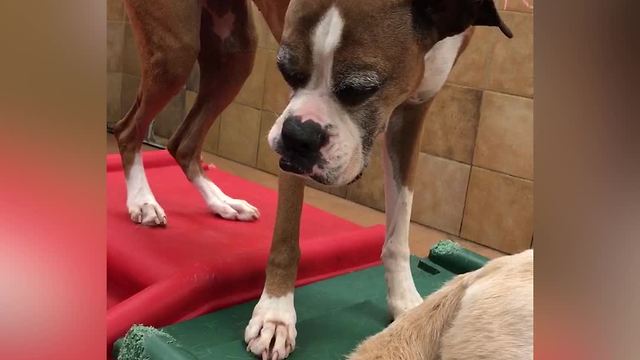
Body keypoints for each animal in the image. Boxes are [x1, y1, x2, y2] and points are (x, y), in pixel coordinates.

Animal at [112, 1, 512, 358]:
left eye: (361, 89)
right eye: (287, 72)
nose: (298, 136)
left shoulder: (411, 114)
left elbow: (399, 227)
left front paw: (405, 301)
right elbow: (286, 240)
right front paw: (275, 316)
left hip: (235, 54)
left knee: (183, 143)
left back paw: (221, 202)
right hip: (176, 54)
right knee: (129, 129)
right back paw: (143, 201)